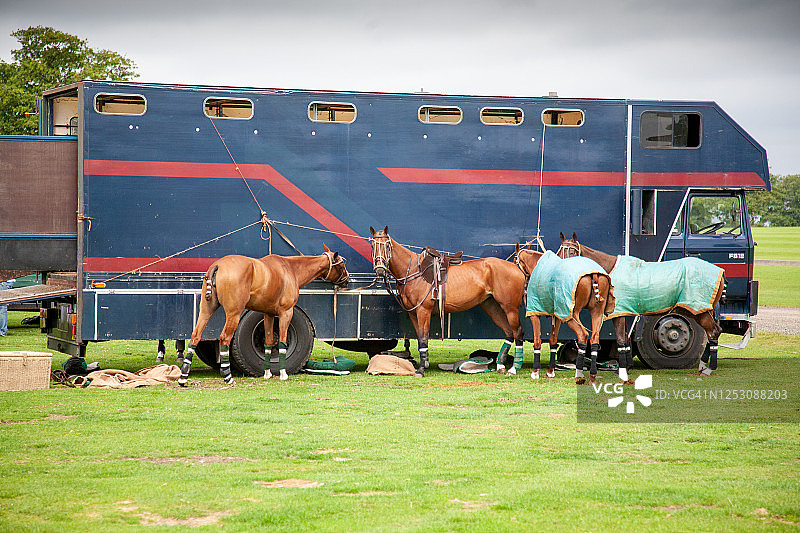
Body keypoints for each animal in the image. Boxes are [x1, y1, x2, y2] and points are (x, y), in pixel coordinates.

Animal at [179, 245, 349, 386]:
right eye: (341, 265)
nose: (347, 280)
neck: (291, 269)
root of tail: (218, 265)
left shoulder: (268, 314)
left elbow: (268, 342)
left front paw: (267, 373)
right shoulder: (286, 313)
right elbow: (282, 343)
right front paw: (283, 373)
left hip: (205, 310)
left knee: (195, 336)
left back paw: (183, 376)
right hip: (234, 314)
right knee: (224, 338)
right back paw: (227, 376)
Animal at [370, 226, 526, 377]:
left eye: (387, 245)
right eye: (372, 245)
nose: (380, 269)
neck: (414, 270)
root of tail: (516, 267)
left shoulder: (423, 311)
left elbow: (424, 339)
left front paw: (421, 370)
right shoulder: (413, 313)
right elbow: (420, 339)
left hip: (510, 308)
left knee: (517, 332)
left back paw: (513, 368)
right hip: (491, 305)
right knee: (508, 332)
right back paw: (500, 365)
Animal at [514, 244, 614, 384]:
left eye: (515, 259)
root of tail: (593, 274)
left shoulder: (535, 313)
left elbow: (537, 341)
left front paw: (535, 372)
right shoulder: (557, 315)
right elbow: (553, 340)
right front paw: (550, 371)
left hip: (572, 313)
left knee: (583, 334)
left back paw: (579, 375)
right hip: (596, 312)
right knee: (594, 339)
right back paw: (592, 376)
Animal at [558, 232, 724, 377]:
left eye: (572, 252)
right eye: (559, 253)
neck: (611, 268)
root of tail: (719, 272)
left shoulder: (619, 313)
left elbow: (621, 339)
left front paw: (622, 370)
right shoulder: (624, 313)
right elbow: (625, 340)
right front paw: (626, 367)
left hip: (698, 310)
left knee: (713, 332)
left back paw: (709, 368)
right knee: (713, 332)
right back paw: (704, 365)